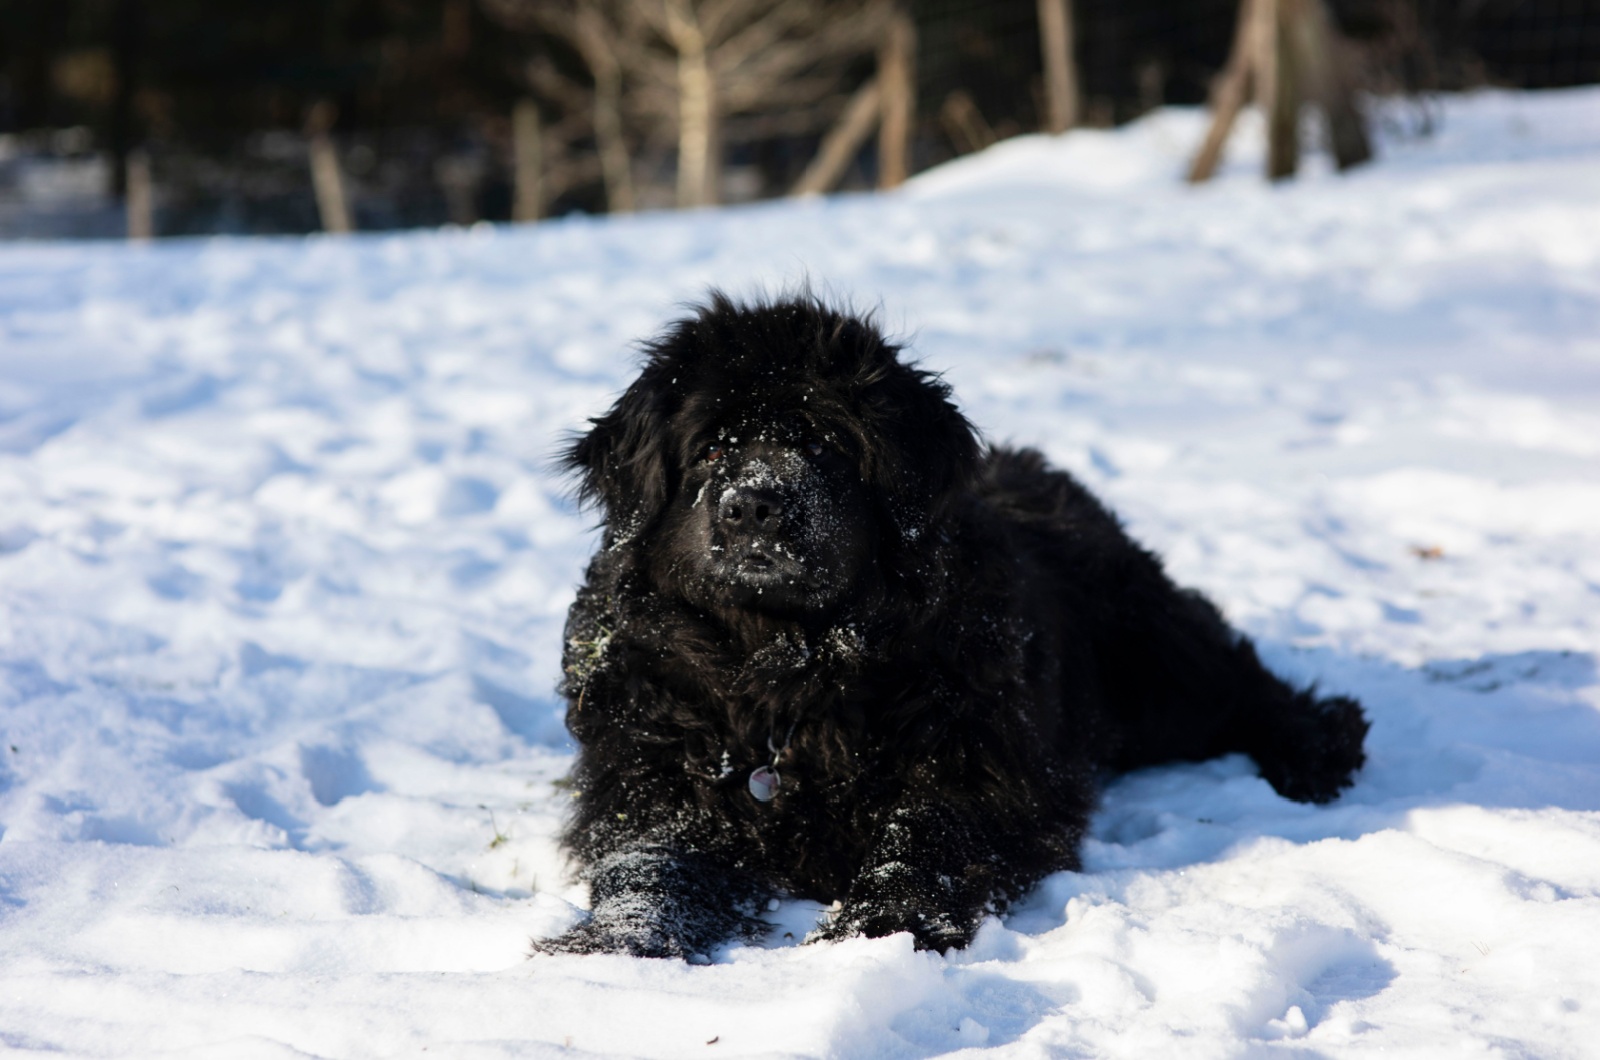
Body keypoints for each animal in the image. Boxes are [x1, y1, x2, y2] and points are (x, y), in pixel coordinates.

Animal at [534, 293, 1363, 960]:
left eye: (826, 445)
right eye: (710, 447)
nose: (755, 504)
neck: (783, 673)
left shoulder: (976, 764)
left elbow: (924, 839)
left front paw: (872, 929)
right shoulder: (656, 779)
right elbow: (652, 865)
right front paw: (612, 943)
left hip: (1153, 669)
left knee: (1242, 683)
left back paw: (1317, 750)